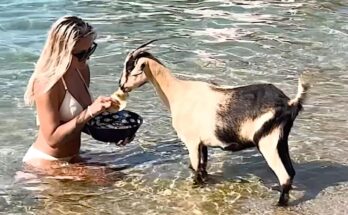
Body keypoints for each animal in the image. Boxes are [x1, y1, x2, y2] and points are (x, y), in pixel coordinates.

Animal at [119, 40, 310, 207]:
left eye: (130, 68)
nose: (121, 86)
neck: (177, 92)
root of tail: (290, 102)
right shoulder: (202, 143)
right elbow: (203, 166)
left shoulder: (191, 142)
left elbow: (195, 168)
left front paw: (195, 187)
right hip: (281, 140)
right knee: (291, 171)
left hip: (267, 142)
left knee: (285, 175)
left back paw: (279, 204)